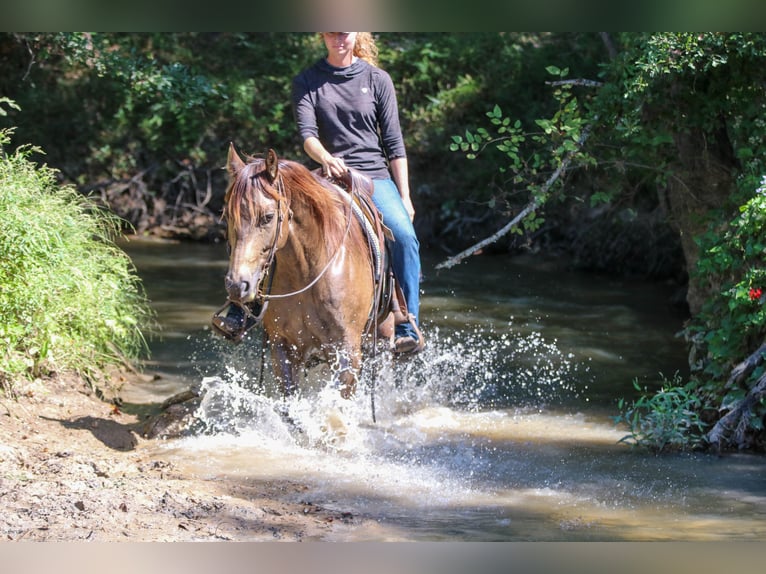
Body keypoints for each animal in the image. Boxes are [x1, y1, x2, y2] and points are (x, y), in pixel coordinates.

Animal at [221, 143, 400, 400]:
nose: (237, 285)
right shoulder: (283, 347)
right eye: (227, 216)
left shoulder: (347, 352)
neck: (307, 272)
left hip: (384, 338)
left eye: (268, 217)